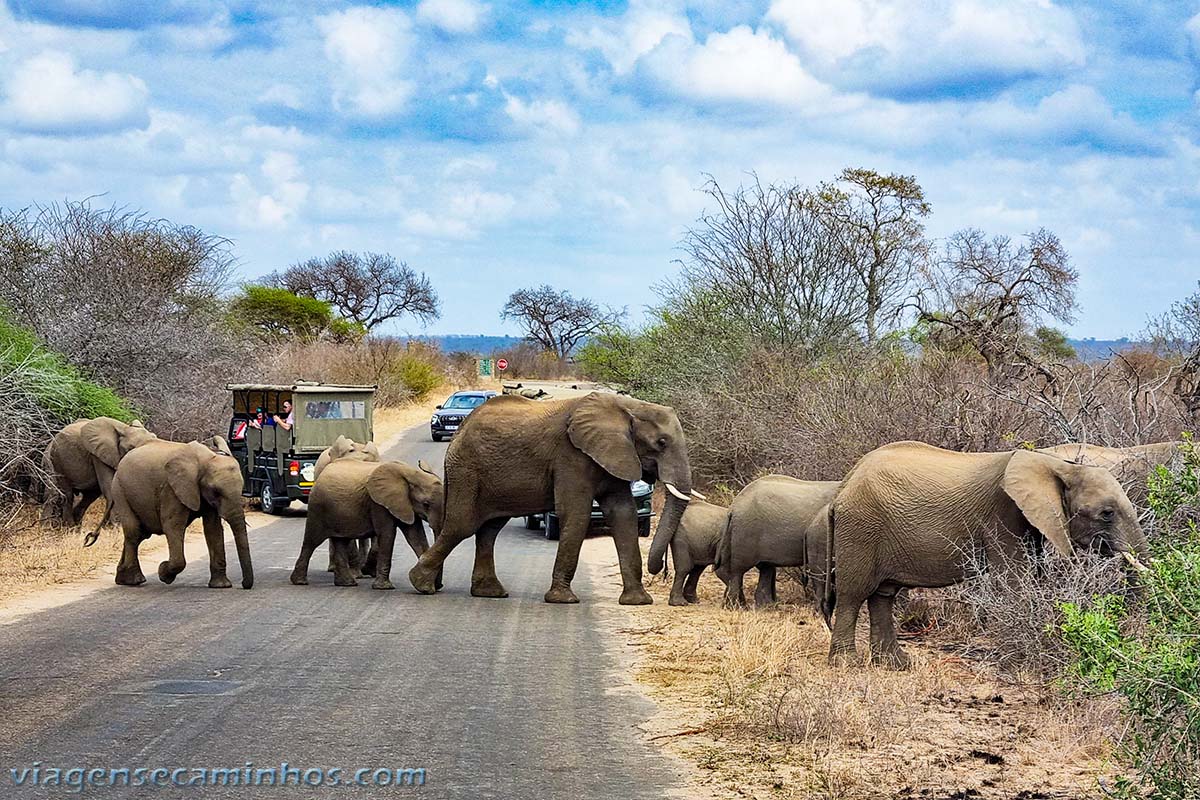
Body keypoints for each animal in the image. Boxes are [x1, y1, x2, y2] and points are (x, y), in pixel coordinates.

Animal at [111, 438, 254, 587]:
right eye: (216, 491)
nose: (244, 584)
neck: (205, 458)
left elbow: (213, 530)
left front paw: (221, 586)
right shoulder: (171, 489)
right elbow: (173, 526)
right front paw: (163, 573)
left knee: (141, 534)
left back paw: (124, 579)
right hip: (119, 489)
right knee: (134, 531)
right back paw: (134, 581)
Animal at [291, 455, 446, 587]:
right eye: (426, 504)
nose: (438, 586)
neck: (411, 473)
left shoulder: (405, 504)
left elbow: (416, 537)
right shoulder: (378, 503)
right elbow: (387, 535)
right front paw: (384, 587)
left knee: (340, 541)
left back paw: (347, 584)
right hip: (318, 507)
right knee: (311, 542)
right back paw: (300, 582)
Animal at [408, 391, 700, 604]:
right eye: (661, 443)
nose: (660, 570)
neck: (627, 406)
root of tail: (458, 433)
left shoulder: (615, 455)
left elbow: (623, 513)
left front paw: (638, 601)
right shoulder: (571, 456)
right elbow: (577, 512)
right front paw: (563, 600)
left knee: (489, 529)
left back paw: (490, 593)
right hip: (467, 470)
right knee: (462, 526)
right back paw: (421, 584)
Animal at [825, 443, 1142, 671]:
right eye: (1107, 513)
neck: (1058, 466)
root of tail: (844, 485)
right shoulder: (1003, 515)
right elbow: (1014, 580)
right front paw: (1019, 662)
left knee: (883, 595)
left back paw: (897, 665)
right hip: (861, 527)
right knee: (854, 594)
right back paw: (846, 665)